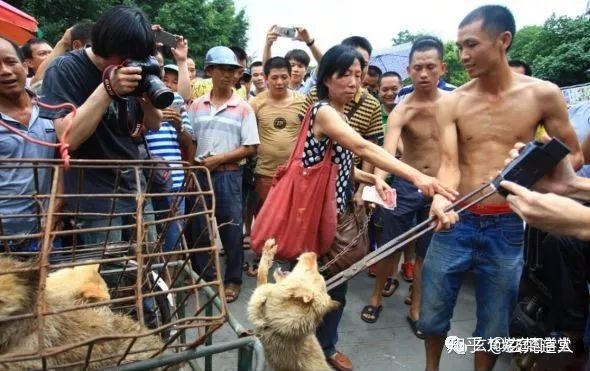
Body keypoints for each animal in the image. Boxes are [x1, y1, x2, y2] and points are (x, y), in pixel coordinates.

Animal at [247, 241, 340, 371]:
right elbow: (262, 271)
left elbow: (261, 273)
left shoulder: (260, 296)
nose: (314, 253)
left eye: (308, 271)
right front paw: (269, 252)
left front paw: (267, 253)